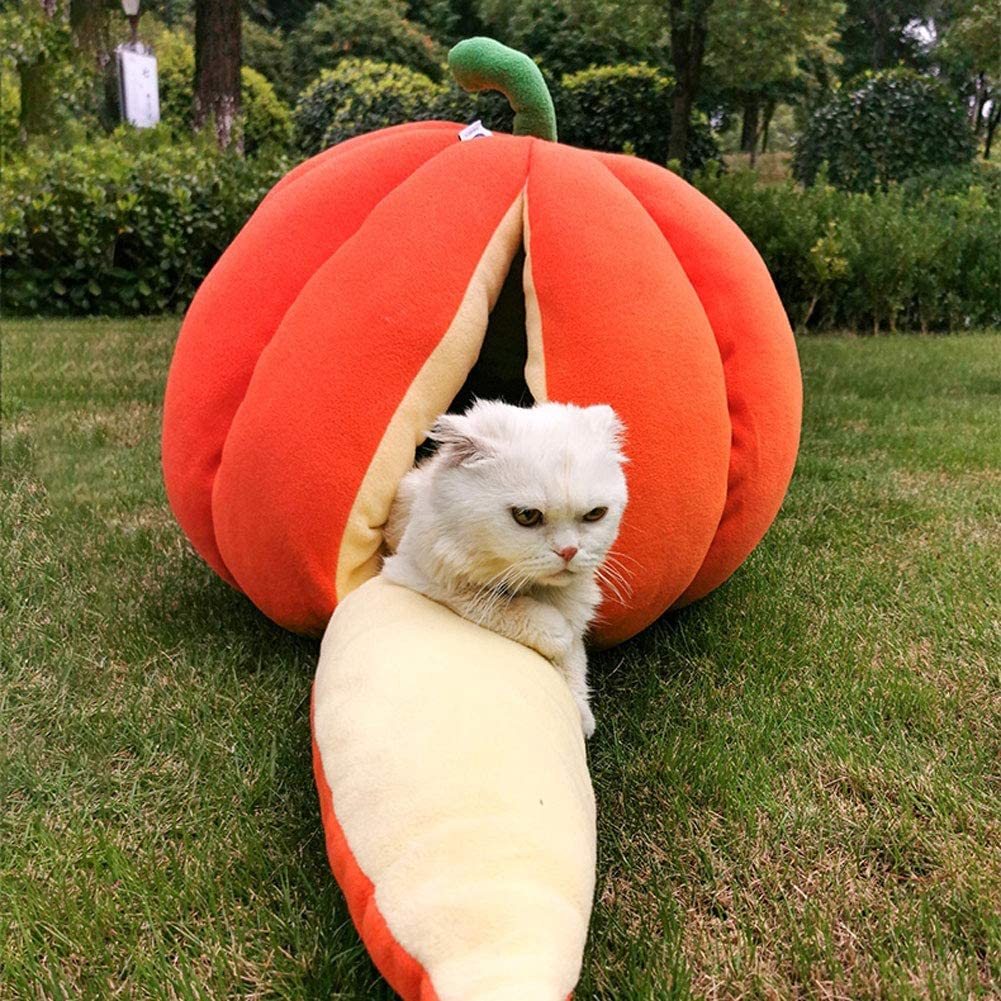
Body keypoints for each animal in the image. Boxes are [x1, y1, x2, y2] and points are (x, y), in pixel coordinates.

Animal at [380, 398, 624, 736]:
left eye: (595, 514)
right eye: (526, 516)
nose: (568, 551)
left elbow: (574, 660)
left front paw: (581, 714)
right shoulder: (414, 572)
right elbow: (492, 605)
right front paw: (553, 629)